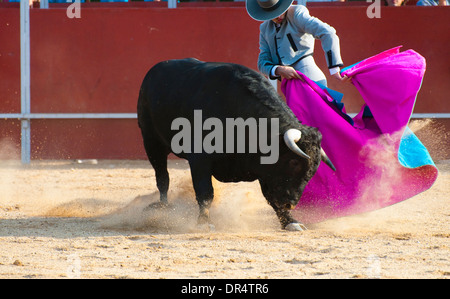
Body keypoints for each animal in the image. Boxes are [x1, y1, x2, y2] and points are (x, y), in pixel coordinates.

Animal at [137, 59, 334, 232]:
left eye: (314, 169)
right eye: (294, 162)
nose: (290, 204)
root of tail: (154, 71)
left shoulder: (266, 170)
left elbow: (270, 196)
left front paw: (291, 222)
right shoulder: (199, 158)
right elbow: (205, 192)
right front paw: (203, 223)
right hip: (151, 142)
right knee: (163, 177)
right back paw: (163, 208)